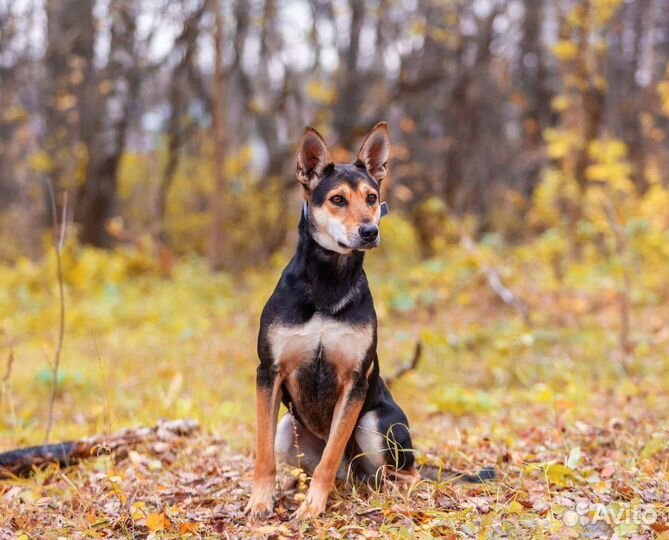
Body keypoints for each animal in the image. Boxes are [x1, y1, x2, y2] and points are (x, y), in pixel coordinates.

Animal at [245, 122, 412, 520]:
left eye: (371, 198)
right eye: (337, 200)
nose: (370, 232)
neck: (328, 281)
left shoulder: (355, 381)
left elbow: (332, 451)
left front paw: (312, 507)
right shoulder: (268, 372)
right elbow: (263, 453)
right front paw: (261, 500)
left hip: (377, 423)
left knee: (400, 473)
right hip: (288, 431)